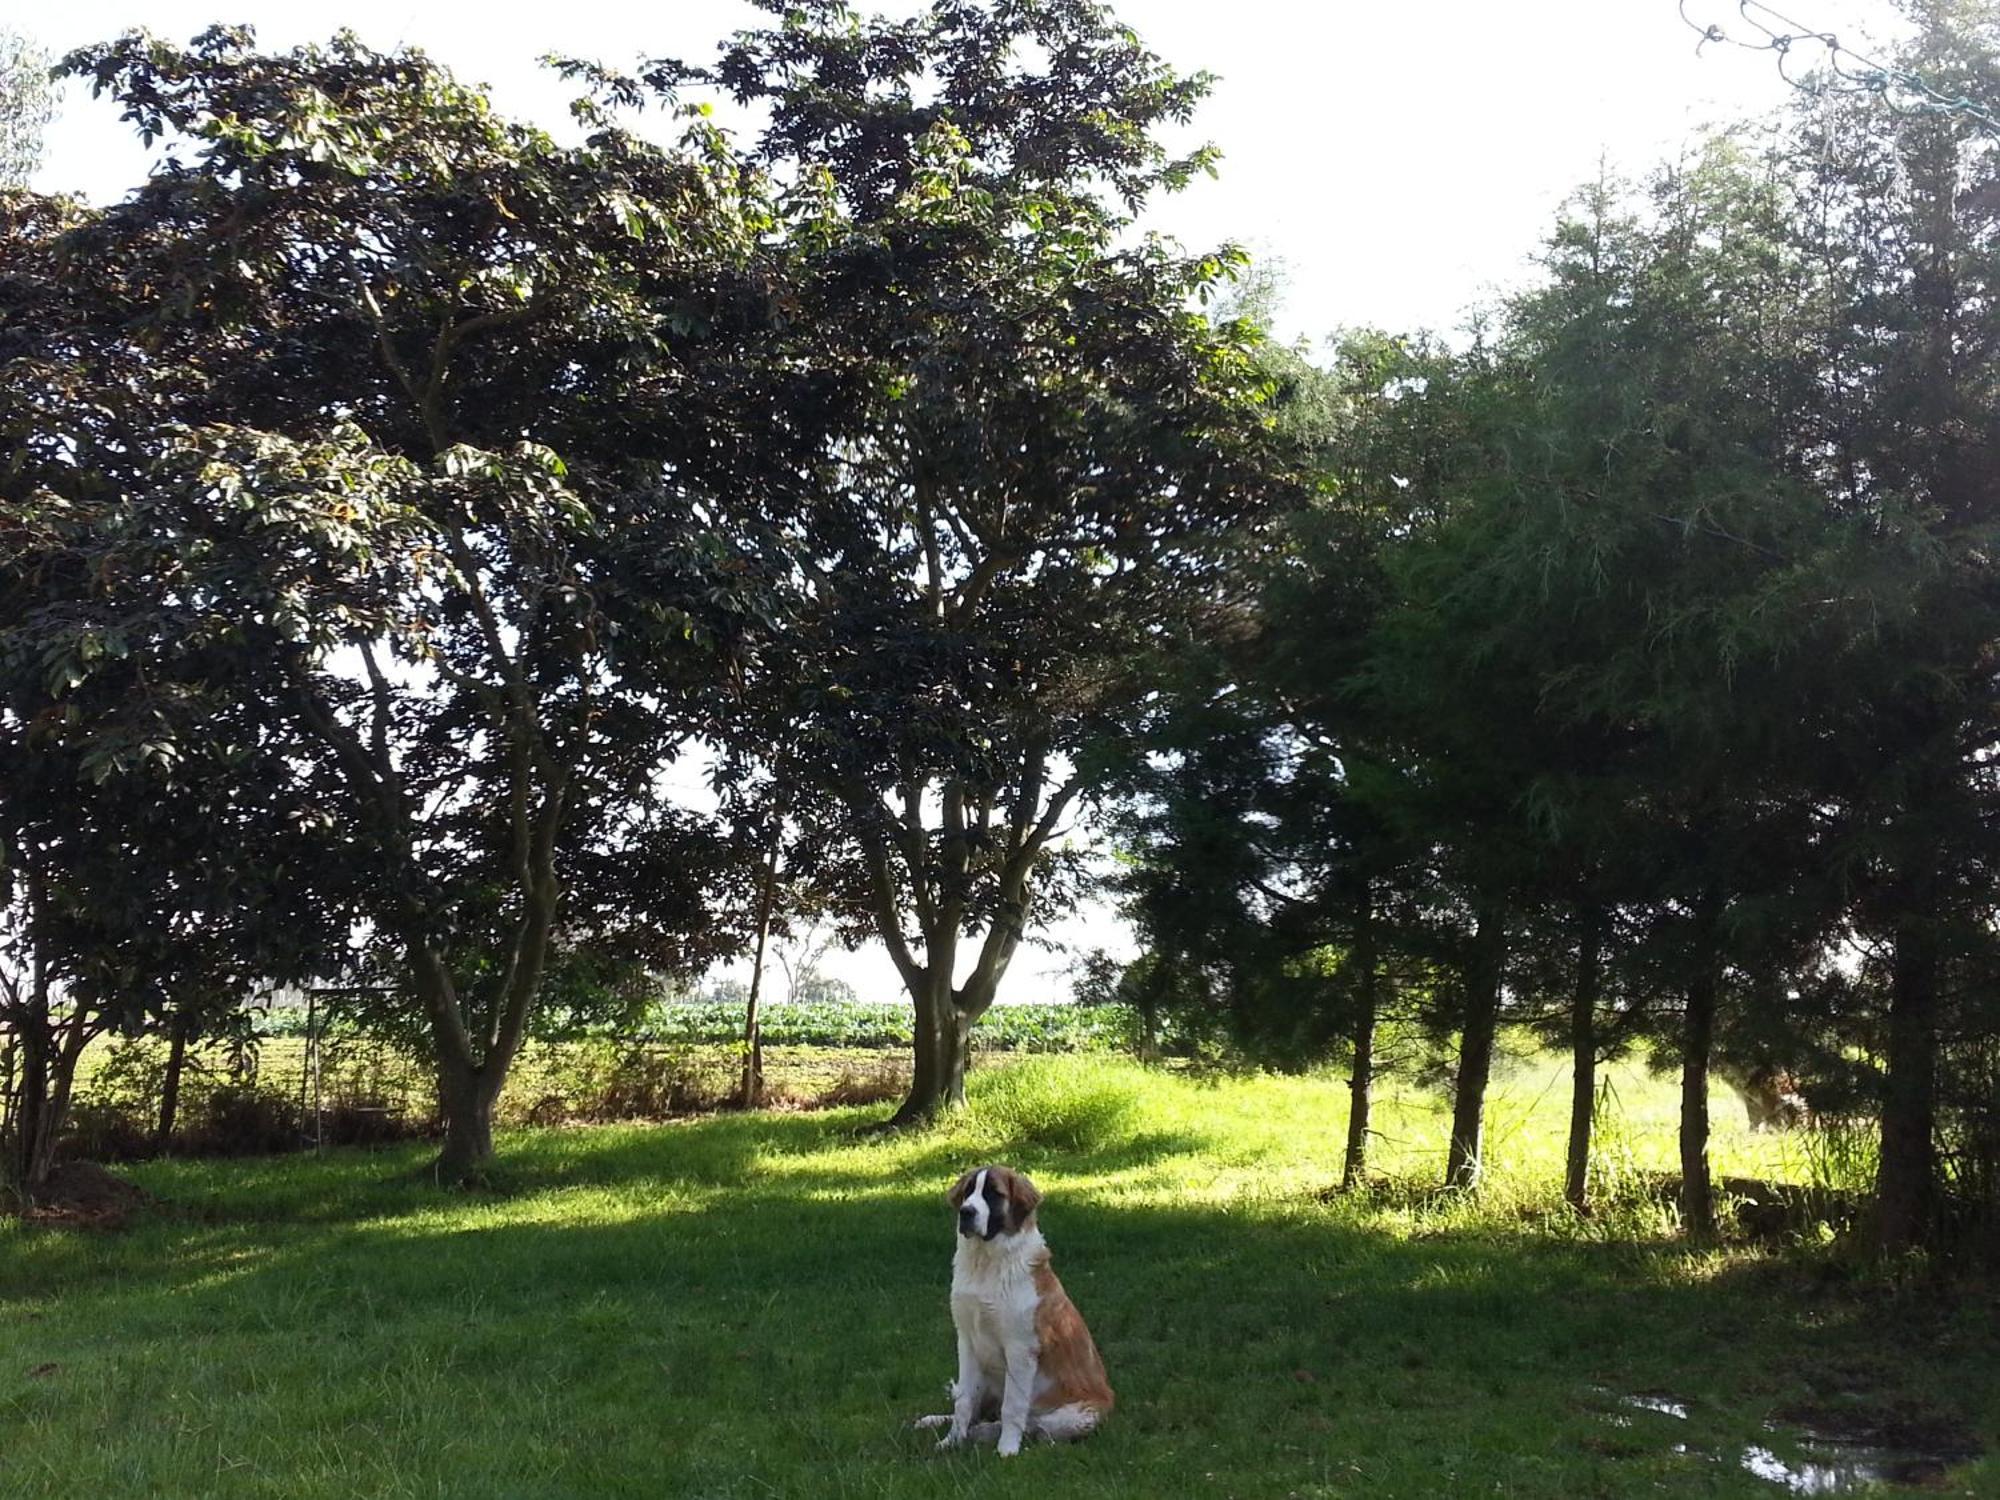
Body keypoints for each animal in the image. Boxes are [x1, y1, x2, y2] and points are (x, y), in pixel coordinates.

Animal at [916, 1168, 1120, 1464]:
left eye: (993, 1194)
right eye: (968, 1191)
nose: (966, 1212)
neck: (986, 1263)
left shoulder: (1020, 1349)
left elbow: (1012, 1406)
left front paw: (1007, 1449)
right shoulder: (966, 1342)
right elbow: (963, 1400)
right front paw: (950, 1442)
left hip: (1078, 1416)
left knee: (1035, 1427)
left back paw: (986, 1433)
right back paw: (936, 1421)